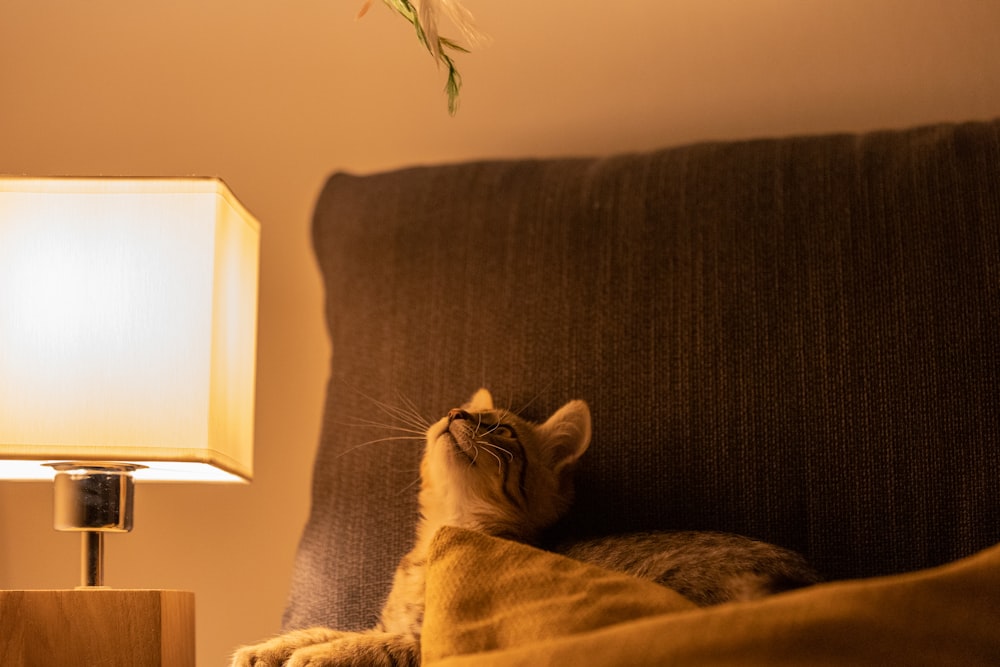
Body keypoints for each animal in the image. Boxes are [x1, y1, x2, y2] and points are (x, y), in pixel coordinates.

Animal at [232, 386, 820, 667]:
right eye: (461, 407)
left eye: (502, 431)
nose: (456, 414)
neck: (439, 538)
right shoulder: (393, 622)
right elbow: (338, 627)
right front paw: (275, 646)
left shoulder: (445, 639)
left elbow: (377, 645)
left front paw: (319, 655)